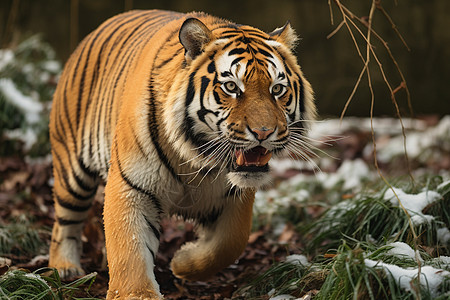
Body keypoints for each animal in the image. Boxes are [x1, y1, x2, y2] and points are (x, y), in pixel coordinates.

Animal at [48, 8, 316, 298]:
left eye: (277, 89)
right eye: (232, 87)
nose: (264, 132)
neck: (196, 158)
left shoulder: (235, 195)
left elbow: (230, 243)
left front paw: (182, 261)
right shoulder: (131, 186)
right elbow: (130, 249)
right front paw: (137, 293)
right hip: (71, 171)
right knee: (64, 222)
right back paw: (65, 268)